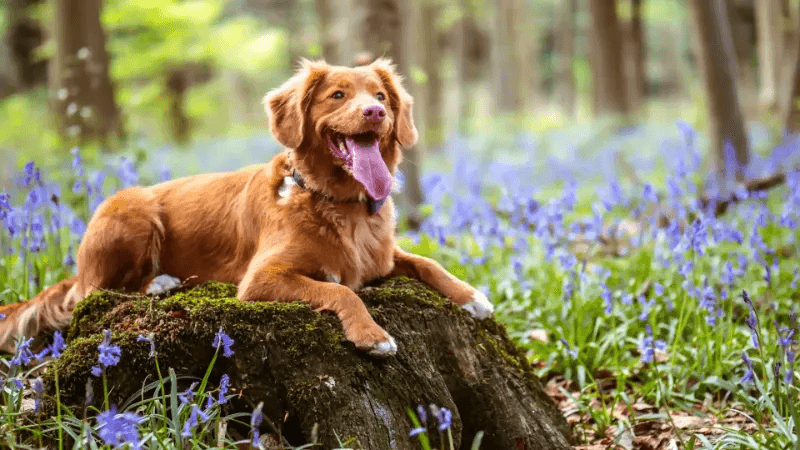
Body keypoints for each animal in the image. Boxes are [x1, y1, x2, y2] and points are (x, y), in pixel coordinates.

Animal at [0, 58, 490, 356]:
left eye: (382, 96)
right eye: (338, 95)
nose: (375, 113)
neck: (339, 204)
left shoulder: (383, 258)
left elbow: (427, 262)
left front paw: (472, 297)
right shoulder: (261, 279)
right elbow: (341, 290)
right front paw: (372, 335)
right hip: (132, 209)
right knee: (95, 292)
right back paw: (159, 282)